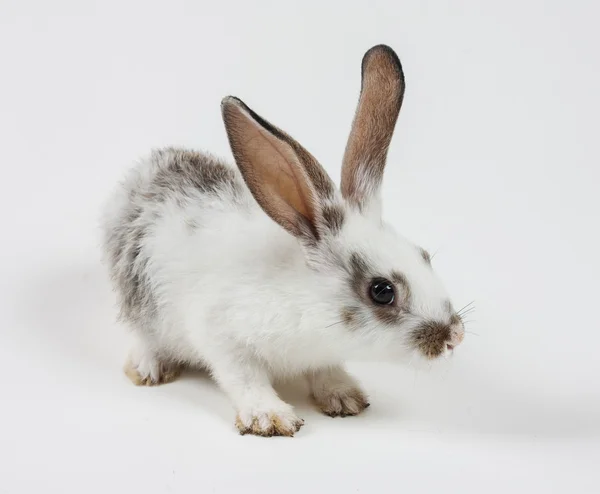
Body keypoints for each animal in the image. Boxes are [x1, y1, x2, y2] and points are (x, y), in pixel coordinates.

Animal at [102, 43, 468, 436]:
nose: (455, 336)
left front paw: (344, 396)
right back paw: (149, 369)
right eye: (382, 291)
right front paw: (271, 417)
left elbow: (325, 371)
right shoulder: (221, 337)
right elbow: (244, 378)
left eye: (424, 255)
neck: (308, 299)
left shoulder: (322, 354)